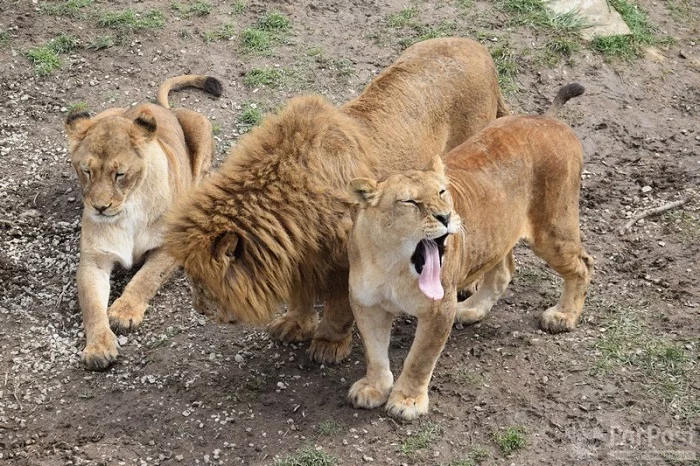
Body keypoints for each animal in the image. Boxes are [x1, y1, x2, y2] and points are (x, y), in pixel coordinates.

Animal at [66, 74, 221, 370]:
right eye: (86, 171)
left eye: (120, 174)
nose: (100, 207)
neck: (128, 210)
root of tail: (160, 107)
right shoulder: (94, 259)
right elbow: (91, 305)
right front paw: (98, 347)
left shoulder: (171, 246)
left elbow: (145, 278)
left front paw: (123, 312)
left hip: (200, 125)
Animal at [167, 37, 512, 364]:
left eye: (200, 281)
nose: (200, 309)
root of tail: (479, 49)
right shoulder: (298, 257)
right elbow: (299, 296)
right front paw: (295, 324)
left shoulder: (344, 260)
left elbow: (339, 308)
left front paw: (329, 344)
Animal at [348, 83, 592, 418]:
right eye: (409, 202)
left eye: (442, 192)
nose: (445, 216)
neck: (393, 263)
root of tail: (548, 120)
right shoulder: (366, 303)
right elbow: (374, 353)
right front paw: (374, 387)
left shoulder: (439, 309)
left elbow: (419, 359)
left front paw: (408, 400)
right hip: (502, 233)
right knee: (504, 270)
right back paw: (473, 309)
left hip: (553, 231)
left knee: (583, 264)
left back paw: (563, 315)